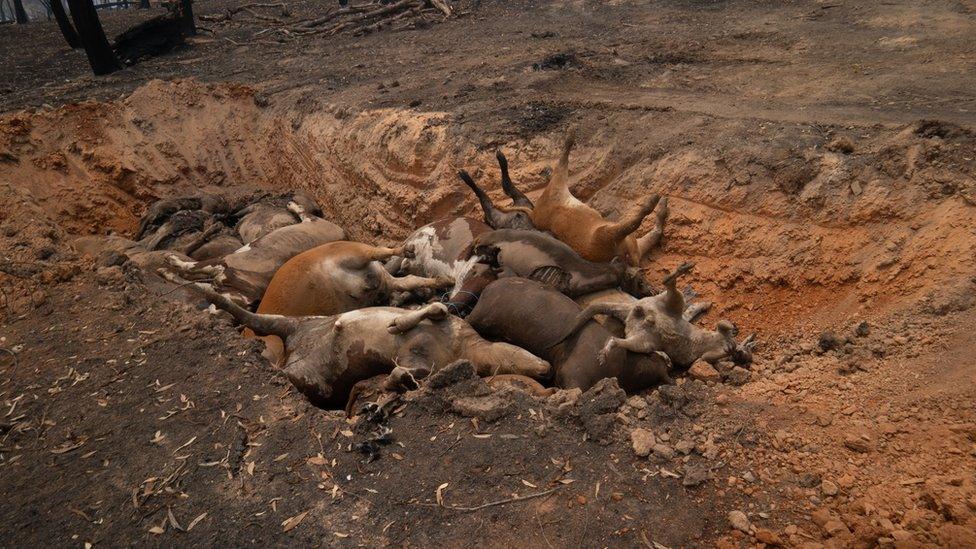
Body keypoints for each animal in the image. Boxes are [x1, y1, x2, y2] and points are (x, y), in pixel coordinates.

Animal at [164, 276, 552, 408]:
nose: (547, 370)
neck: (466, 348)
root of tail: (293, 350)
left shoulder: (425, 365)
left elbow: (405, 373)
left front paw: (395, 383)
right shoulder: (448, 321)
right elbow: (434, 308)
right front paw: (398, 322)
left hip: (310, 380)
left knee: (274, 358)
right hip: (294, 322)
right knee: (249, 317)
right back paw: (205, 294)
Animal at [528, 133, 672, 266]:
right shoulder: (558, 181)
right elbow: (564, 157)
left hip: (631, 243)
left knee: (653, 233)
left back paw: (661, 204)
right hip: (608, 235)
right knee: (634, 224)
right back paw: (654, 201)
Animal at [564, 262, 756, 368]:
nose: (744, 354)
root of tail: (637, 309)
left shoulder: (711, 353)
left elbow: (708, 355)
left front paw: (734, 345)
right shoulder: (714, 345)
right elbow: (721, 328)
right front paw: (733, 333)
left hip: (644, 336)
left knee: (631, 342)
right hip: (662, 306)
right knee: (675, 294)